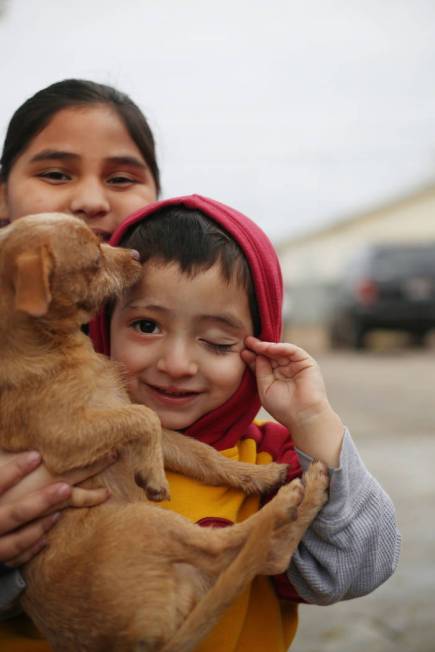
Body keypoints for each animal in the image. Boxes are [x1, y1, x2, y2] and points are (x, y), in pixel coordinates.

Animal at [0, 215, 328, 652]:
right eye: (94, 261)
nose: (136, 254)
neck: (50, 346)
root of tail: (147, 642)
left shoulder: (129, 414)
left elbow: (196, 450)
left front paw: (257, 475)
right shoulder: (63, 437)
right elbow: (143, 418)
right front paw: (154, 476)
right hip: (147, 524)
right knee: (241, 549)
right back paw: (288, 502)